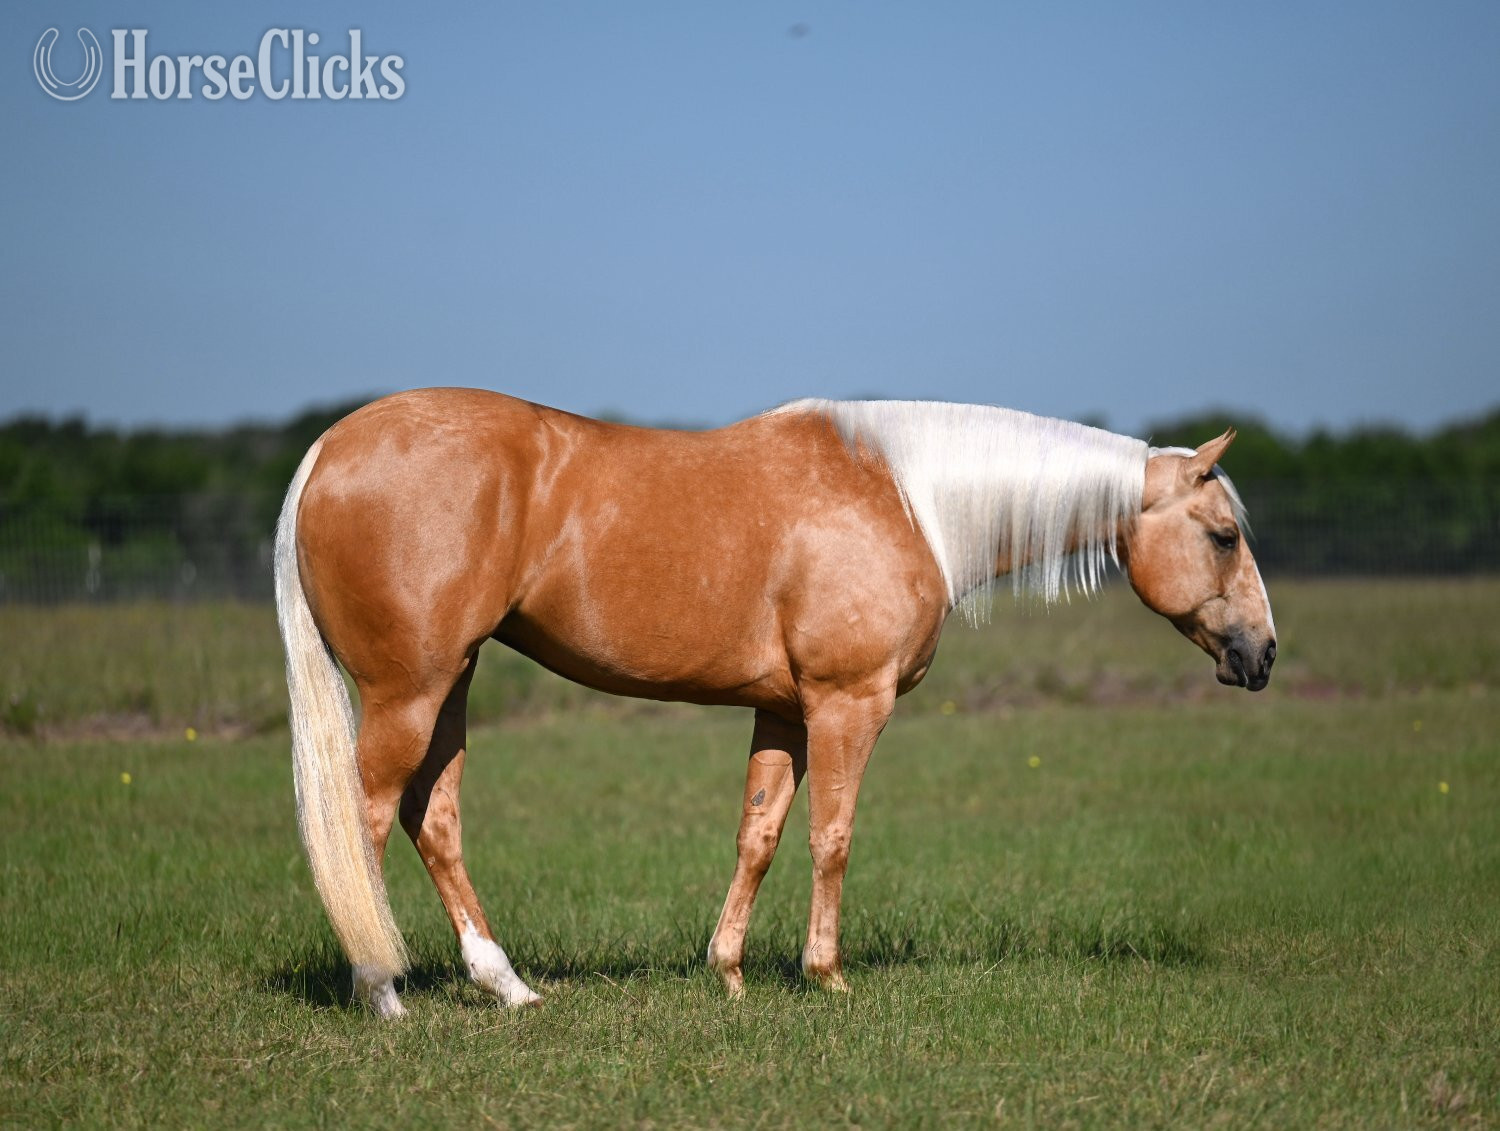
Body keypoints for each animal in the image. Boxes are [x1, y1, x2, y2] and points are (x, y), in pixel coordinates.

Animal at [274, 388, 1276, 1017]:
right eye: (1225, 535)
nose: (1261, 655)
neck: (907, 498)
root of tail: (330, 448)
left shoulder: (785, 711)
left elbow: (758, 832)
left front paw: (728, 974)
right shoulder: (847, 704)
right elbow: (832, 834)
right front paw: (826, 976)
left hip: (452, 682)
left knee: (433, 820)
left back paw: (506, 986)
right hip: (410, 691)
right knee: (362, 822)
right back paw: (382, 992)